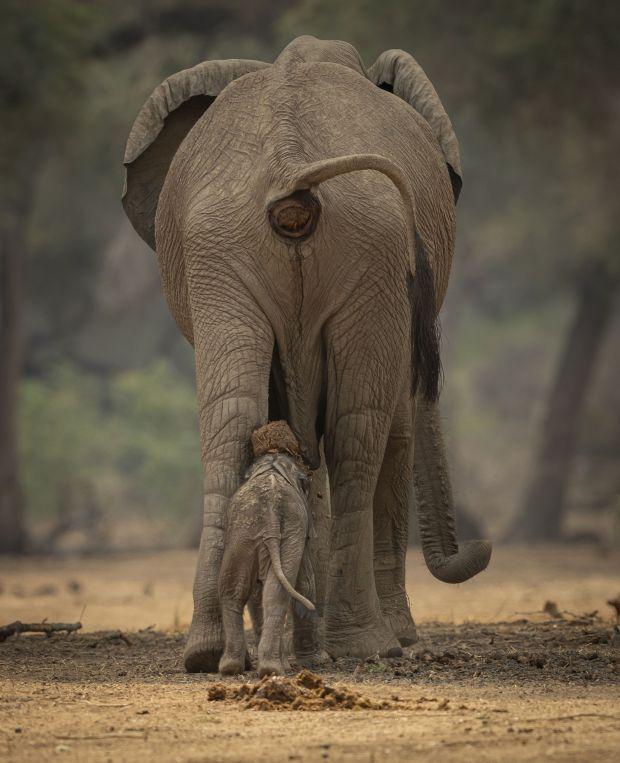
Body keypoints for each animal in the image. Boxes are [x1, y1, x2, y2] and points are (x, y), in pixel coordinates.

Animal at [218, 444, 314, 676]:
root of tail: (270, 513)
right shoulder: (302, 528)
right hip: (262, 530)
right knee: (268, 590)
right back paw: (268, 668)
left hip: (243, 532)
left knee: (235, 588)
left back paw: (238, 667)